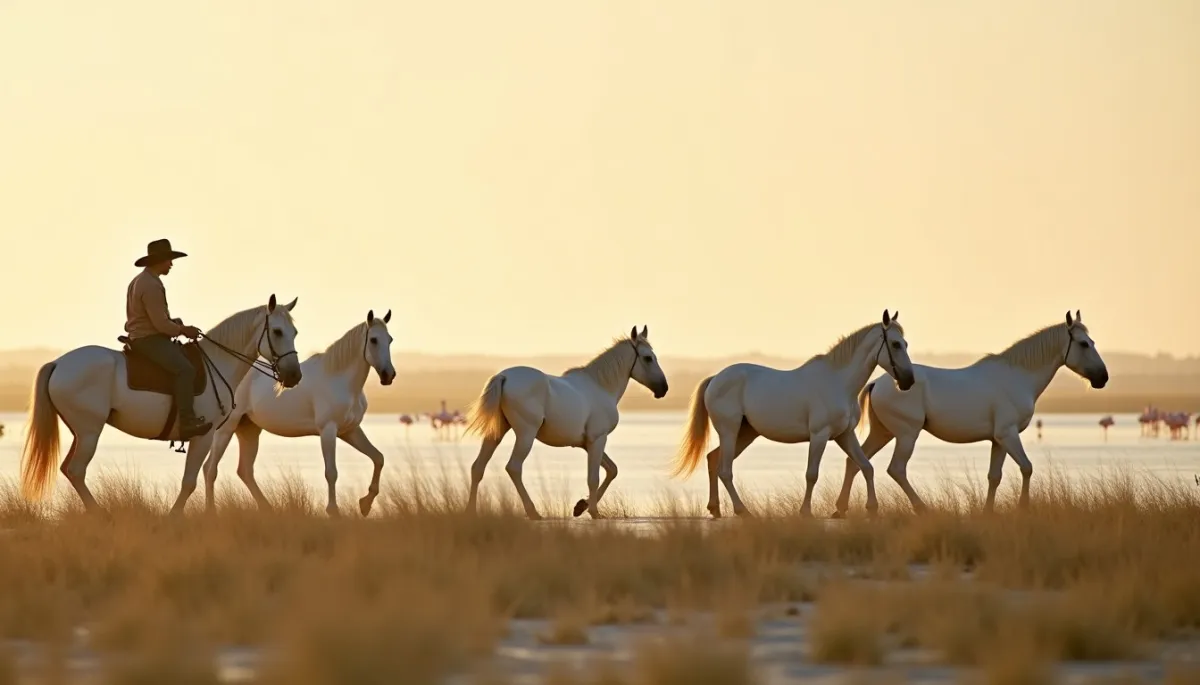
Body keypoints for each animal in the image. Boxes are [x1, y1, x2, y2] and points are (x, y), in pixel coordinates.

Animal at [20, 295, 304, 515]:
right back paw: (100, 515)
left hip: (79, 432)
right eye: (277, 332)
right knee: (77, 470)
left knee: (69, 470)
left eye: (294, 332)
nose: (294, 376)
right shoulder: (203, 436)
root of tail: (58, 363)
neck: (217, 362)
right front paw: (173, 517)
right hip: (90, 431)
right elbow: (189, 482)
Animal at [201, 310, 397, 517]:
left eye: (390, 339)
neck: (341, 381)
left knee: (244, 471)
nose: (388, 375)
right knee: (210, 469)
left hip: (249, 431)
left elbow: (378, 458)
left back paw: (268, 509)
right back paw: (211, 512)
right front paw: (333, 511)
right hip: (226, 429)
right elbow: (331, 472)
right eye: (374, 340)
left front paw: (365, 503)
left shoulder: (350, 431)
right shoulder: (328, 431)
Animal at [464, 326, 669, 520]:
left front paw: (581, 506)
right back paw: (533, 512)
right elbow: (594, 477)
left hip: (496, 433)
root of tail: (504, 377)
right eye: (648, 358)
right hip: (526, 435)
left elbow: (612, 470)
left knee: (478, 468)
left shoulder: (586, 444)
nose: (663, 388)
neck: (601, 386)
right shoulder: (598, 439)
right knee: (513, 468)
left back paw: (471, 511)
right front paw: (593, 511)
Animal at [671, 310, 914, 518]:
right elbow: (812, 474)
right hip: (729, 431)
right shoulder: (819, 435)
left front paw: (871, 508)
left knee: (713, 459)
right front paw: (805, 512)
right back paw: (743, 512)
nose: (908, 381)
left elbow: (866, 466)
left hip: (745, 434)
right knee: (725, 470)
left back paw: (715, 509)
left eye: (905, 343)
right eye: (895, 344)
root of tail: (715, 379)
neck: (838, 382)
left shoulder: (845, 435)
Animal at [832, 311, 1108, 516]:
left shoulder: (999, 440)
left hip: (884, 433)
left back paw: (841, 508)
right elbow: (1027, 467)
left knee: (856, 462)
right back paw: (922, 509)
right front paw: (1023, 507)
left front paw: (988, 512)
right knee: (896, 469)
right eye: (1084, 344)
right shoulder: (1008, 435)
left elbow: (994, 476)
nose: (1103, 378)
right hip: (906, 434)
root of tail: (877, 383)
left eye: (1093, 342)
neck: (1018, 378)